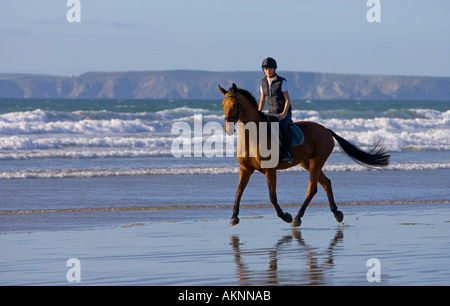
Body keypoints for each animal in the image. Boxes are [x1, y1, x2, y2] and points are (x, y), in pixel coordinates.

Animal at [220, 83, 388, 227]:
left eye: (234, 104)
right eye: (222, 105)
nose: (227, 129)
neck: (253, 137)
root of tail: (326, 130)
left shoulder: (270, 170)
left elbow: (272, 197)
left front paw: (285, 216)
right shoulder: (245, 169)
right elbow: (238, 191)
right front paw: (234, 217)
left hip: (316, 162)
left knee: (312, 188)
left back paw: (297, 217)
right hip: (308, 163)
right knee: (326, 183)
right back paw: (336, 213)